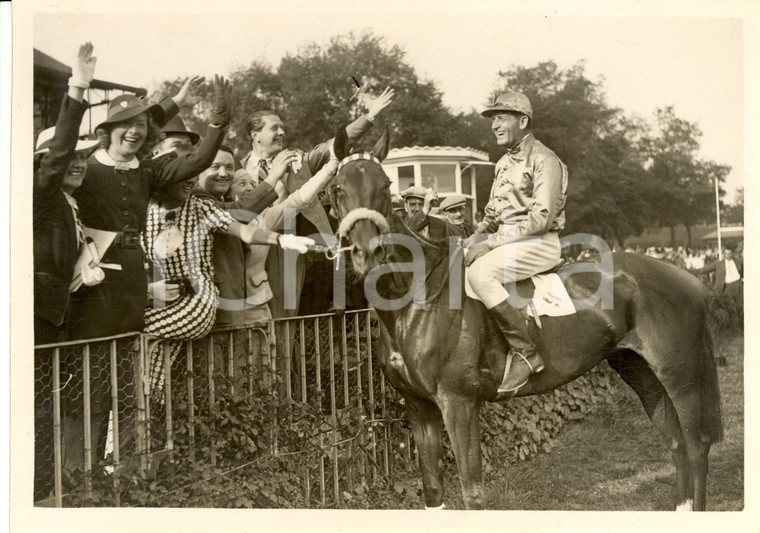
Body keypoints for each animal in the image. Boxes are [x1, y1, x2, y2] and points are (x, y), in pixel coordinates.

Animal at [326, 127, 724, 510]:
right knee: (675, 442)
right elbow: (433, 492)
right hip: (639, 371)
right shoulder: (420, 409)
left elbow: (473, 495)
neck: (418, 297)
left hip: (680, 374)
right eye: (337, 188)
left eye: (385, 185)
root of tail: (690, 277)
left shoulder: (459, 404)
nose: (369, 253)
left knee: (697, 444)